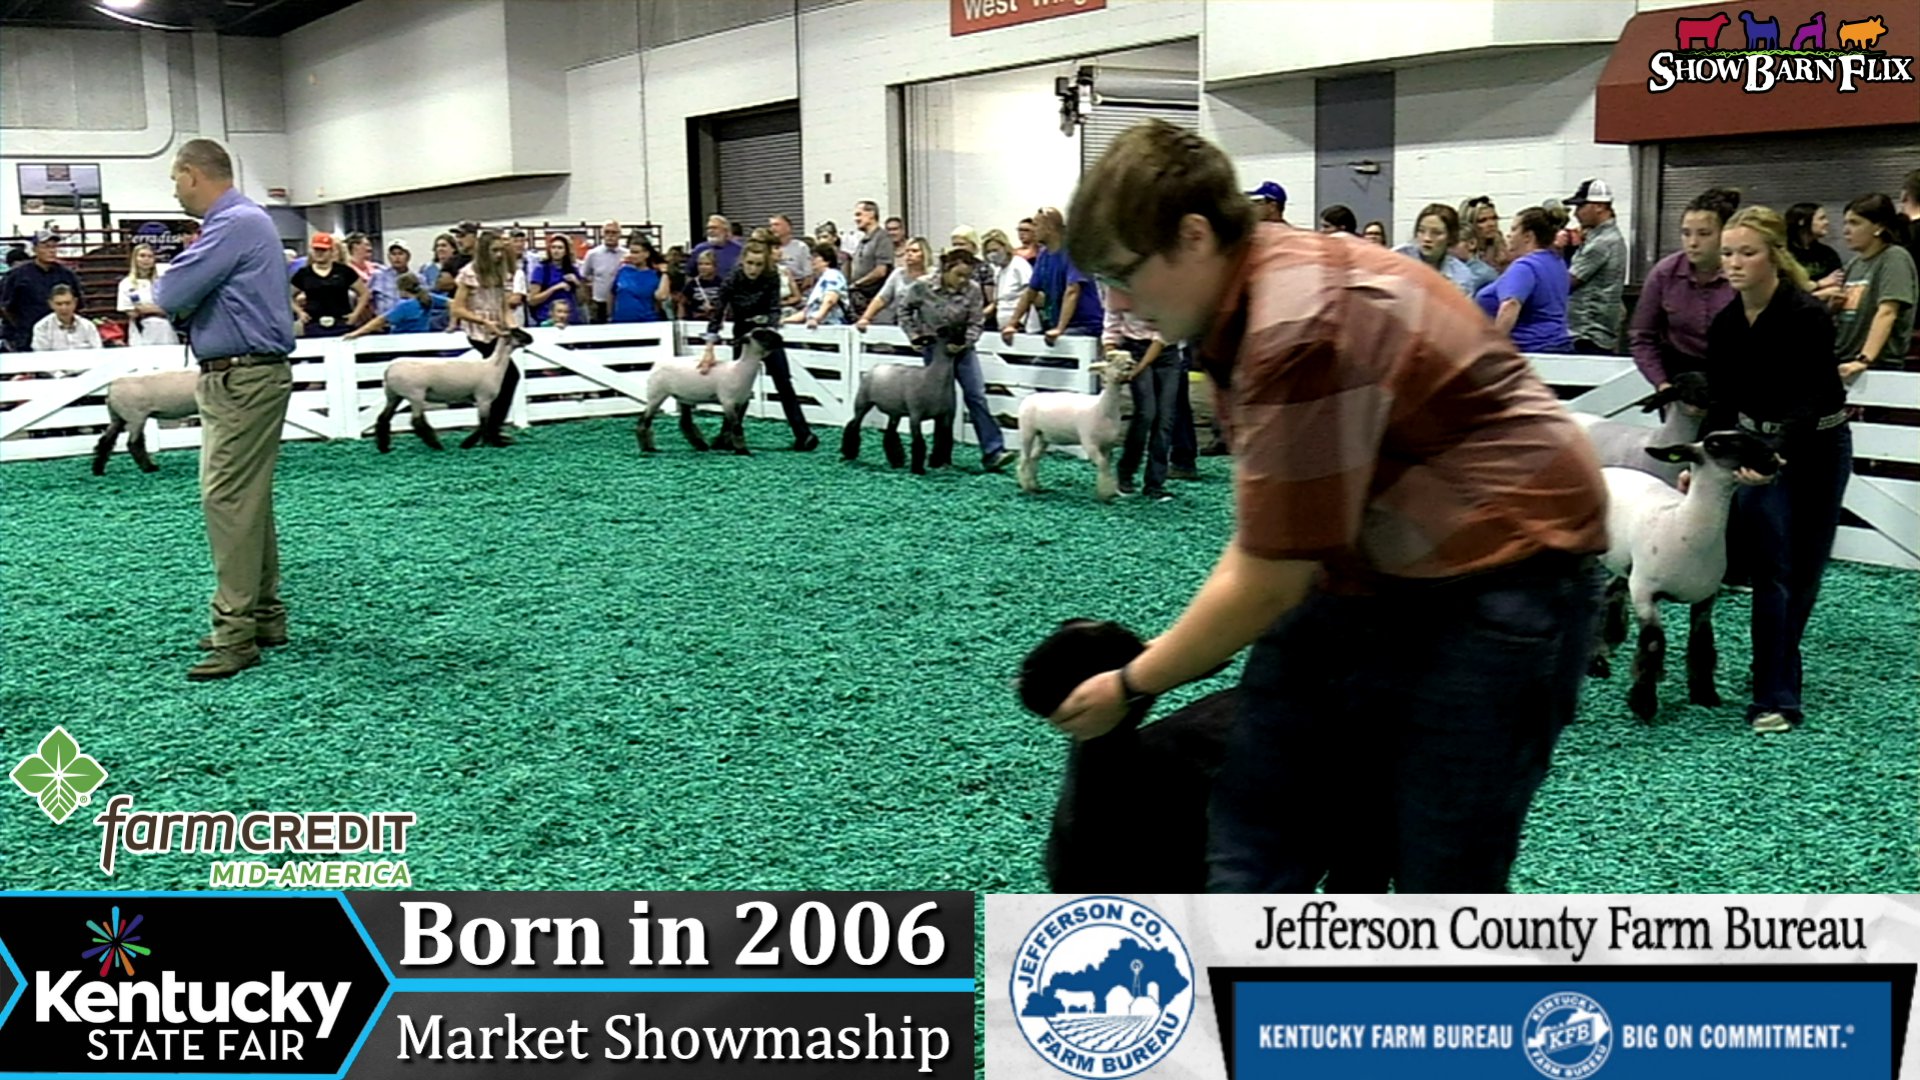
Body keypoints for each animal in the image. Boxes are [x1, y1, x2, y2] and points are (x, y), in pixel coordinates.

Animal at [372, 322, 529, 449]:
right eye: (517, 333)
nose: (531, 338)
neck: (493, 366)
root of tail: (389, 369)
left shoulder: (483, 400)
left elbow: (486, 422)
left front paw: (482, 441)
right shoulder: (483, 398)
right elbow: (484, 422)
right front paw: (472, 443)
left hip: (394, 395)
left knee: (383, 417)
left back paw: (384, 447)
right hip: (415, 394)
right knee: (416, 421)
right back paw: (436, 444)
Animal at [629, 322, 779, 449]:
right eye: (761, 335)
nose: (781, 339)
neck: (741, 368)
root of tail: (656, 364)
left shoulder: (741, 402)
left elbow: (730, 426)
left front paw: (724, 444)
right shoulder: (728, 402)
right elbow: (736, 427)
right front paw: (742, 450)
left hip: (683, 397)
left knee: (685, 423)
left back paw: (701, 445)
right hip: (656, 395)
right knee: (644, 421)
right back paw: (648, 448)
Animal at [844, 334, 956, 472]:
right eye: (943, 335)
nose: (961, 342)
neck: (931, 377)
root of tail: (875, 367)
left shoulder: (946, 415)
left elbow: (944, 439)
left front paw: (937, 462)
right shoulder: (915, 415)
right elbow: (918, 442)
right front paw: (918, 470)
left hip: (894, 412)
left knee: (890, 433)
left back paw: (897, 461)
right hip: (862, 402)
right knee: (854, 425)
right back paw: (849, 454)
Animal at [1013, 349, 1128, 499]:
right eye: (1112, 363)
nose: (1130, 364)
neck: (1101, 407)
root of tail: (1028, 398)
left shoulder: (1108, 444)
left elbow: (1106, 465)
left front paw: (1107, 490)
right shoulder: (1089, 443)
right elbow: (1103, 464)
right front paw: (1106, 493)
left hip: (1043, 436)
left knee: (1033, 458)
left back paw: (1035, 486)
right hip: (1027, 432)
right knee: (1024, 459)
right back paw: (1026, 487)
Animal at [1589, 424, 1781, 718]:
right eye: (1715, 445)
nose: (1772, 458)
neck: (1683, 523)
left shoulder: (1705, 597)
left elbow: (1701, 642)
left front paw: (1705, 694)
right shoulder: (1644, 593)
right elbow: (1653, 644)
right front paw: (1643, 703)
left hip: (1625, 564)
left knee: (1610, 592)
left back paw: (1606, 646)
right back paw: (1595, 664)